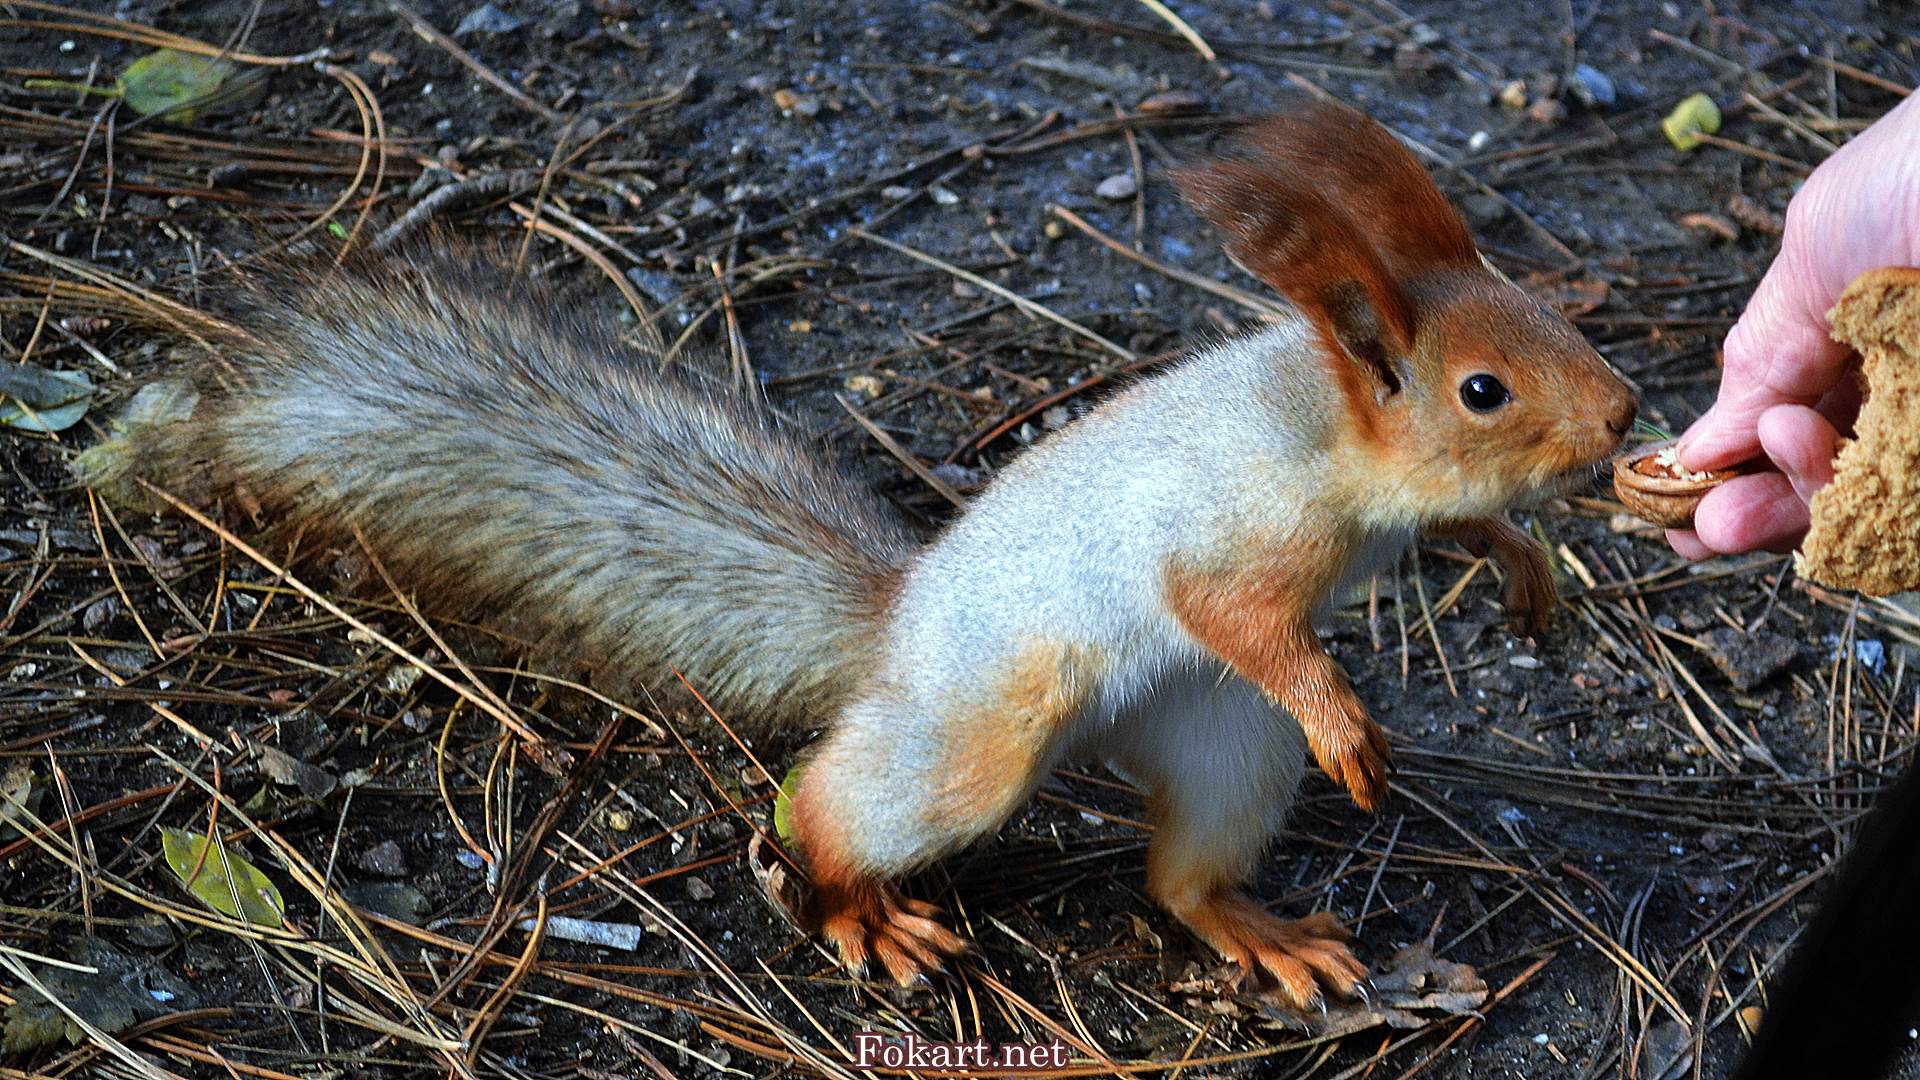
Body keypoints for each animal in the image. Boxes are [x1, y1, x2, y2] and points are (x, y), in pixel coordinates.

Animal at [76, 99, 1636, 1010]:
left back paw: (1258, 930)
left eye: (1551, 313)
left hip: (1217, 746)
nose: (1625, 415)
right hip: (980, 740)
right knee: (831, 807)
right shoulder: (1236, 532)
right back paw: (858, 910)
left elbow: (1469, 523)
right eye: (1482, 388)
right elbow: (1233, 608)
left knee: (1176, 882)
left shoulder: (1396, 517)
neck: (1331, 436)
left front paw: (1529, 577)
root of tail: (898, 631)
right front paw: (1344, 710)